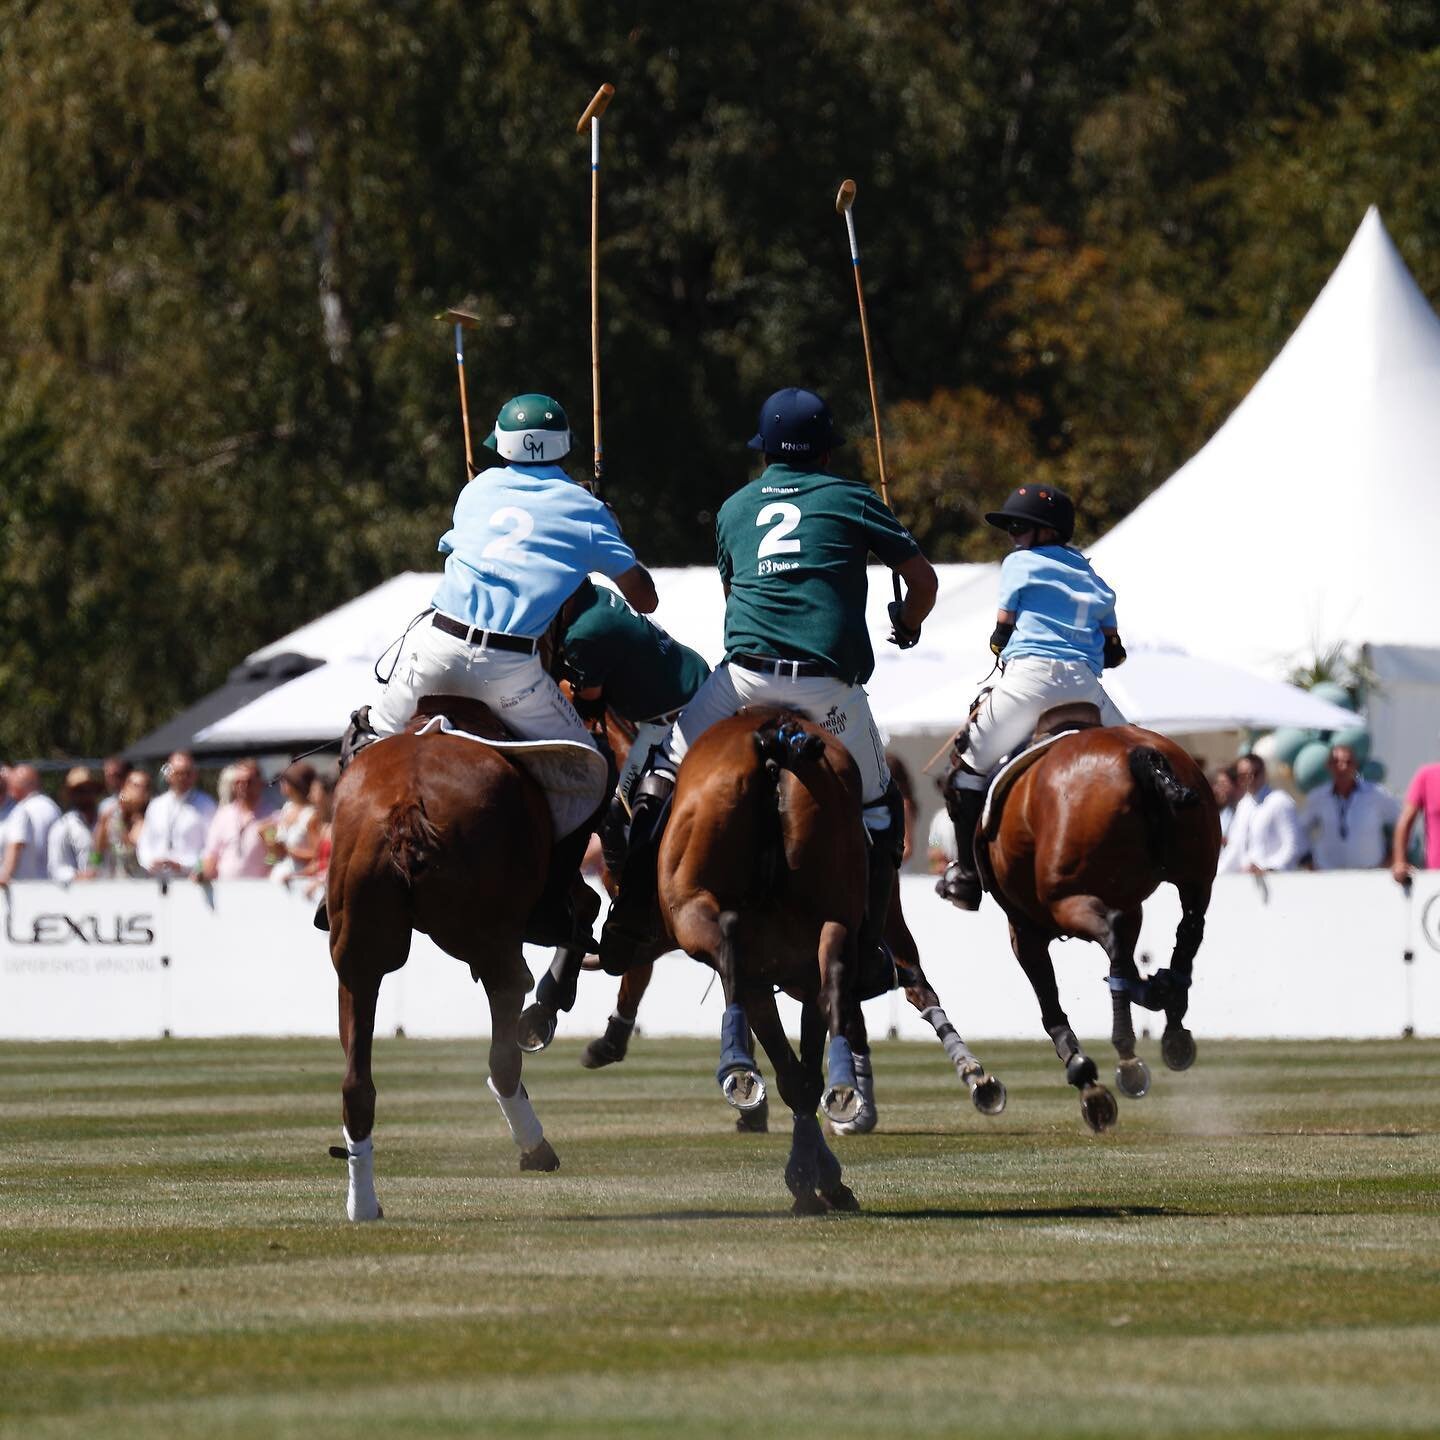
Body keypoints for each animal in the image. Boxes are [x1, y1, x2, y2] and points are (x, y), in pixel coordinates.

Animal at [326, 694, 596, 1215]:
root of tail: (406, 807)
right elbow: (587, 906)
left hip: (359, 953)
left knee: (356, 1084)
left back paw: (362, 1204)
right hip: (491, 943)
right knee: (504, 1048)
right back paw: (535, 1144)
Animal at [973, 708, 1221, 1134]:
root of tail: (1142, 756)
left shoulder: (1024, 928)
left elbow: (1049, 1000)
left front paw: (1083, 1072)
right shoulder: (1134, 901)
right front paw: (1159, 991)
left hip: (1067, 897)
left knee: (1116, 938)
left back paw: (1127, 1052)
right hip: (1196, 872)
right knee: (1188, 928)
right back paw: (1172, 1017)